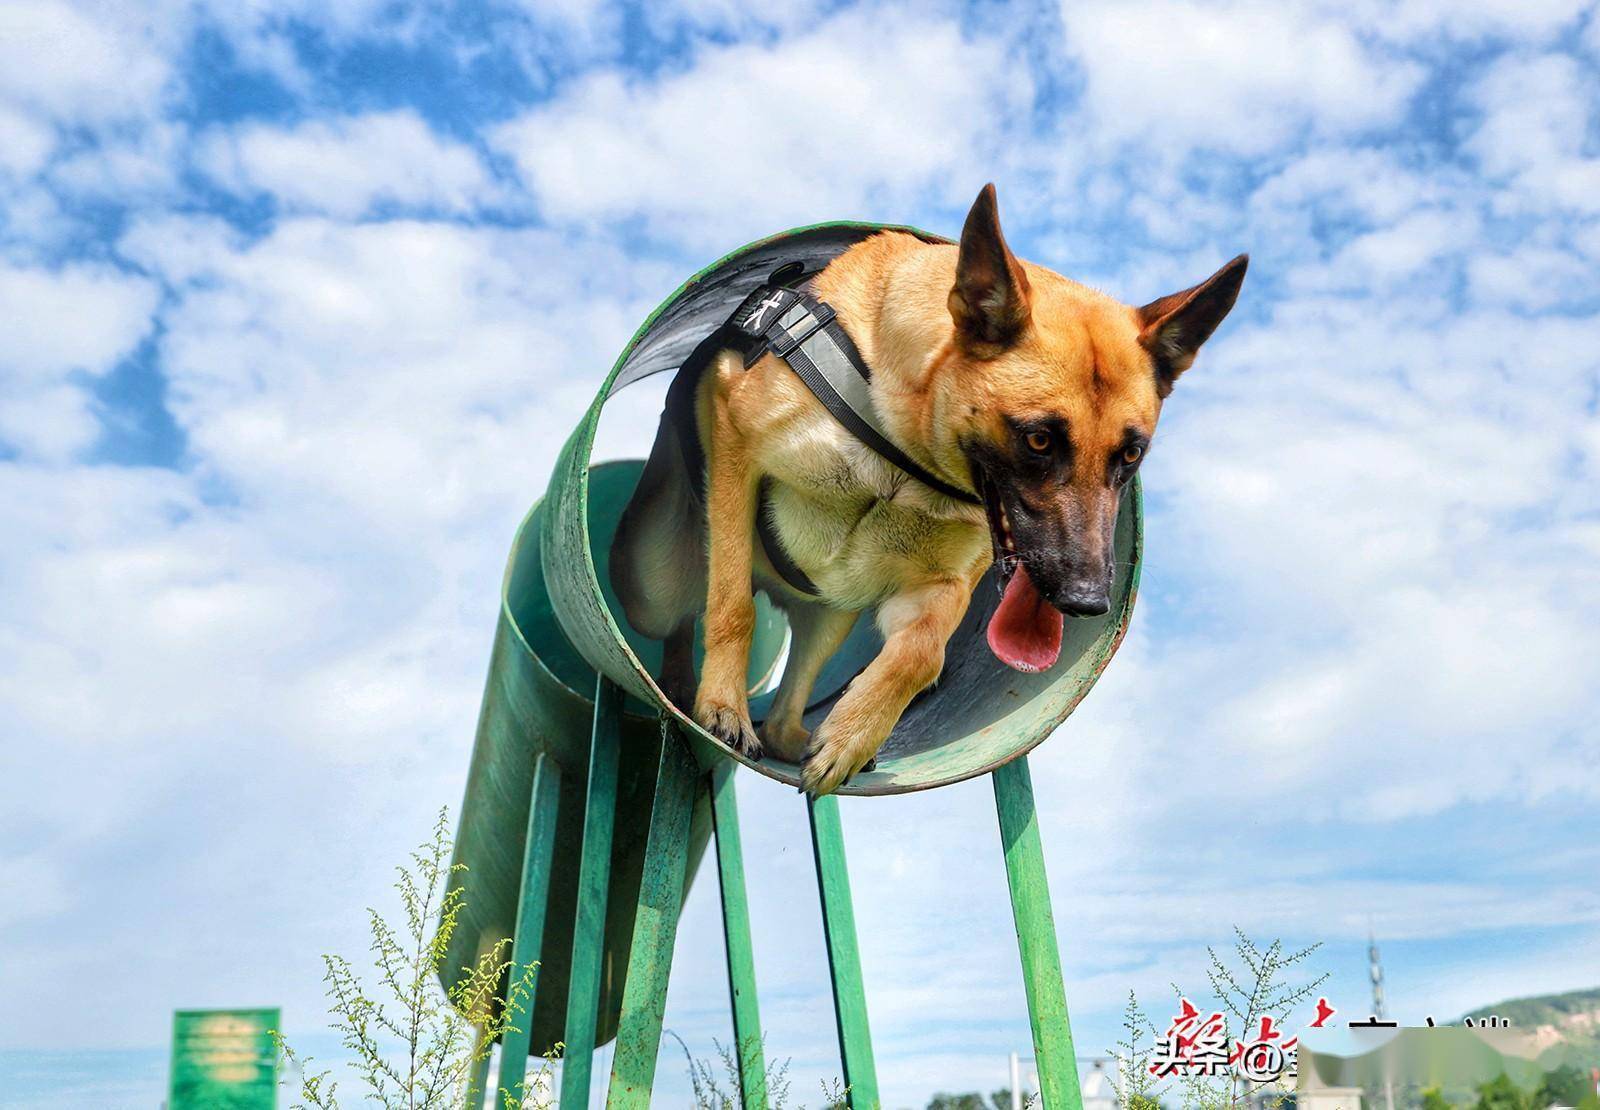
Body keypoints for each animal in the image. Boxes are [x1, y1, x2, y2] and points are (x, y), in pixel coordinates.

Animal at [604, 182, 1241, 796]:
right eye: (1038, 440)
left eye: (1131, 454)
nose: (1085, 601)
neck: (903, 454)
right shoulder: (736, 437)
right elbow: (732, 604)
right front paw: (722, 707)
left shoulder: (939, 586)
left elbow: (921, 653)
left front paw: (854, 734)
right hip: (655, 582)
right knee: (688, 614)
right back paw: (682, 682)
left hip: (833, 613)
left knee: (785, 718)